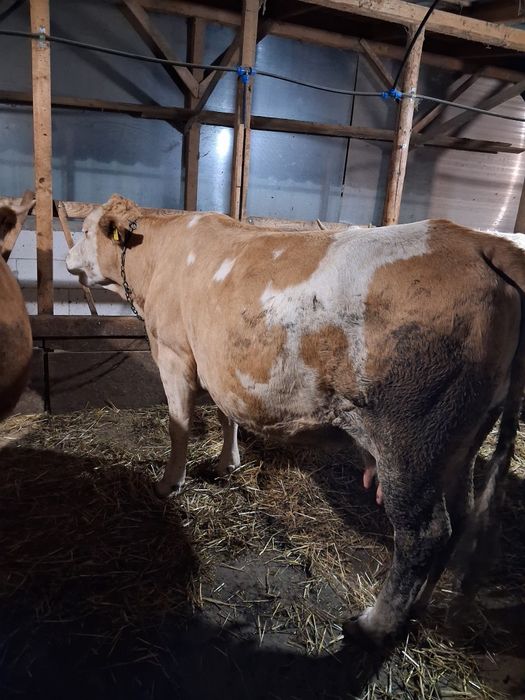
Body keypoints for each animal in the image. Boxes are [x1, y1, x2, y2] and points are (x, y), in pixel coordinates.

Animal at [66, 194, 525, 647]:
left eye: (85, 230)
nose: (68, 257)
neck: (159, 253)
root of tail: (477, 241)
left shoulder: (174, 352)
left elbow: (178, 425)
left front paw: (168, 485)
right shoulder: (221, 363)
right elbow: (227, 414)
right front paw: (227, 463)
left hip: (411, 442)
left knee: (423, 533)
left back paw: (374, 624)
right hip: (460, 441)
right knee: (459, 520)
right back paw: (419, 609)